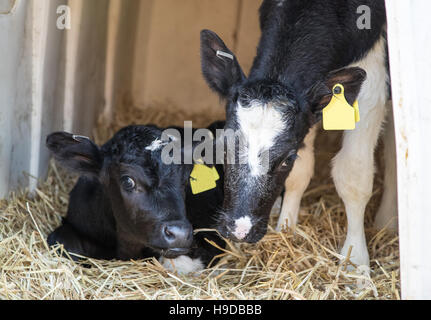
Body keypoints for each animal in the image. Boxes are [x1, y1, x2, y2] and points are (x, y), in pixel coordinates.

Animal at [200, 0, 394, 268]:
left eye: (286, 160)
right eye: (223, 148)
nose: (239, 229)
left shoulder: (373, 77)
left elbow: (353, 174)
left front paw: (355, 260)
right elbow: (301, 172)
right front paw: (285, 229)